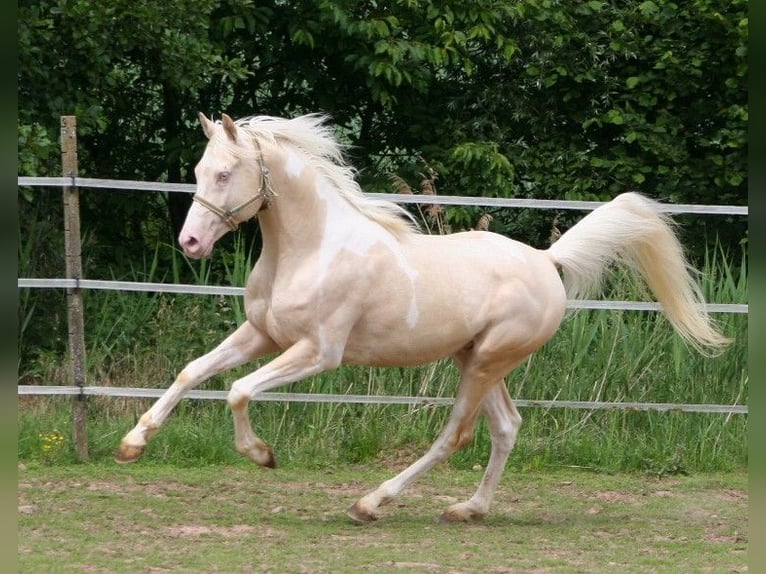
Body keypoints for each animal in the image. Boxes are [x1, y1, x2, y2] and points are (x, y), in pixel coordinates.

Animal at [115, 112, 732, 528]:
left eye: (225, 174)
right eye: (200, 170)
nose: (191, 244)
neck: (311, 247)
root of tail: (545, 260)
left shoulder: (318, 352)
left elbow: (238, 391)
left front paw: (262, 456)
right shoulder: (262, 334)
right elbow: (194, 372)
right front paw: (132, 444)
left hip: (486, 361)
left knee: (457, 434)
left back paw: (371, 503)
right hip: (479, 358)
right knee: (507, 427)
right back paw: (469, 509)